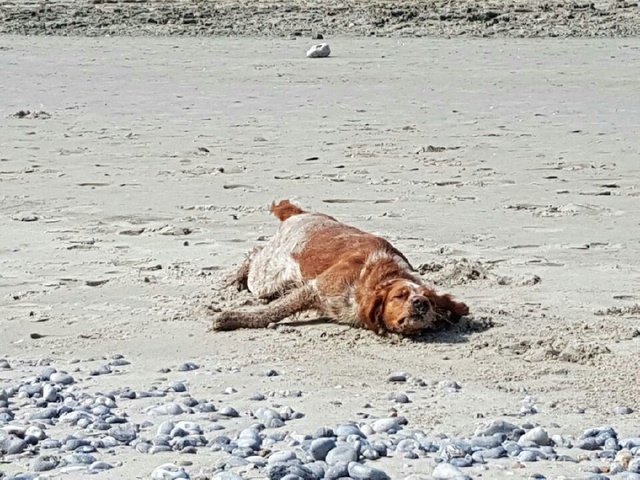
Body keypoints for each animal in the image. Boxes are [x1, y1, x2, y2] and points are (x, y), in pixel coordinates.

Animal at [212, 201, 468, 336]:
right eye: (399, 295)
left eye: (430, 300)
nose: (421, 303)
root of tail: (300, 214)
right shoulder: (315, 288)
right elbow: (273, 311)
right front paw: (231, 317)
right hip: (267, 276)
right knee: (255, 253)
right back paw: (237, 279)